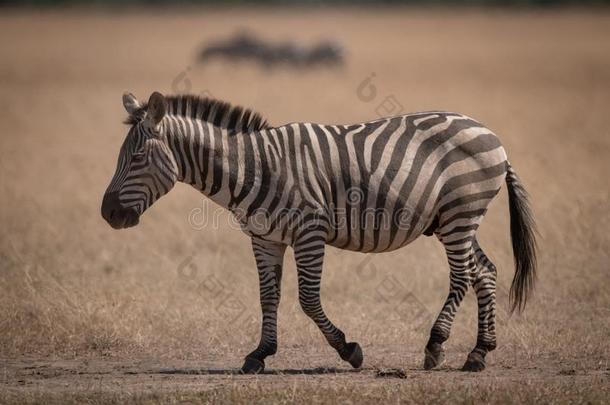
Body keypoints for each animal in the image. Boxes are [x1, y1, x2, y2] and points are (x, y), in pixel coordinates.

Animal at [102, 91, 536, 372]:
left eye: (136, 157)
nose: (107, 214)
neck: (256, 167)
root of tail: (490, 133)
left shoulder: (309, 231)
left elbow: (308, 299)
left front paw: (350, 351)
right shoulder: (265, 238)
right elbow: (268, 297)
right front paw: (259, 353)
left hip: (460, 212)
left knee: (462, 275)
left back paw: (435, 346)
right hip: (454, 219)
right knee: (485, 272)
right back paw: (478, 354)